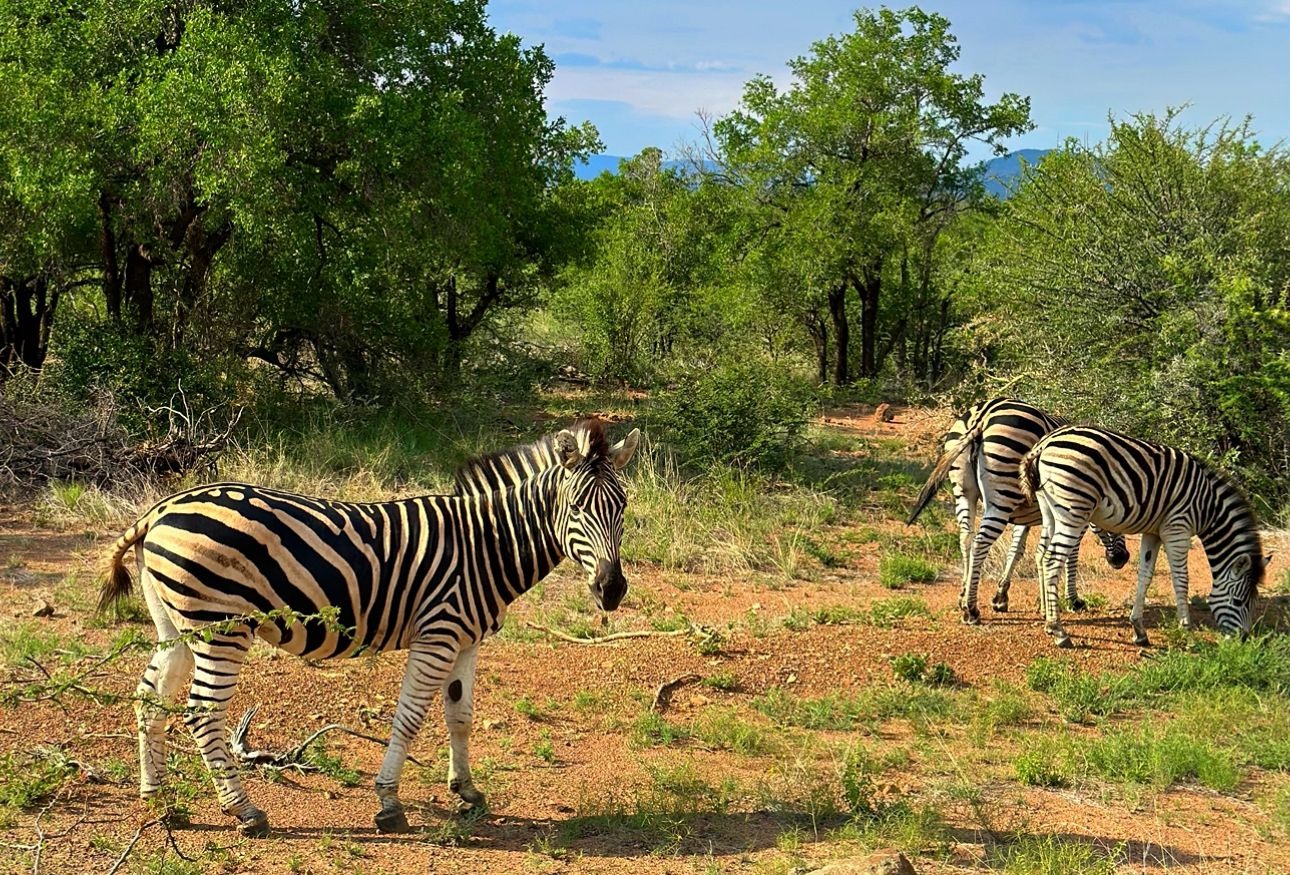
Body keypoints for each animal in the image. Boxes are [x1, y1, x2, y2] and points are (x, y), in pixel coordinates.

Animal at [98, 420, 642, 841]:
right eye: (576, 509)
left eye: (623, 508)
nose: (612, 590)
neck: (486, 545)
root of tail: (160, 510)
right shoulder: (437, 634)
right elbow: (410, 718)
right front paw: (389, 804)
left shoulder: (467, 640)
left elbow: (459, 716)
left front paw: (466, 791)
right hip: (221, 629)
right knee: (202, 712)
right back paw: (244, 810)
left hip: (175, 626)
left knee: (149, 696)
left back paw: (158, 800)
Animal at [908, 400, 1130, 627]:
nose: (1121, 559)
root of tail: (982, 415)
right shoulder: (1074, 514)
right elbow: (1070, 554)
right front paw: (1072, 601)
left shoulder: (1026, 516)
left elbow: (1017, 550)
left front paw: (1001, 596)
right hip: (1002, 496)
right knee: (980, 542)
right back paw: (971, 610)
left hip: (964, 491)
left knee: (966, 539)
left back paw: (963, 597)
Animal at [1016, 428, 1269, 647]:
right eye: (1238, 602)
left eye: (1254, 603)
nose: (1242, 641)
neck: (1209, 507)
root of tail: (1044, 444)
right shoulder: (1177, 529)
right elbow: (1181, 581)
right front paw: (1187, 633)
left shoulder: (1153, 532)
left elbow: (1145, 577)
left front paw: (1139, 630)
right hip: (1074, 510)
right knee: (1052, 561)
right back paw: (1059, 631)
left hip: (1050, 510)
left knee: (1042, 556)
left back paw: (1048, 622)